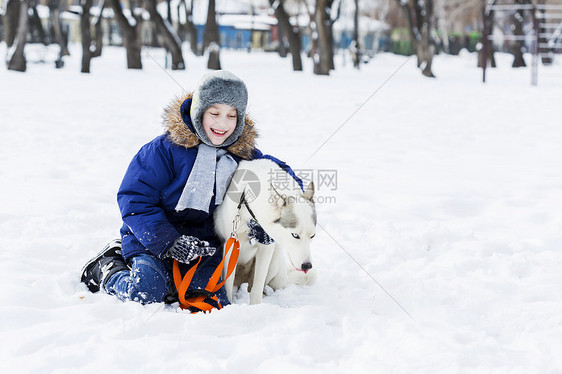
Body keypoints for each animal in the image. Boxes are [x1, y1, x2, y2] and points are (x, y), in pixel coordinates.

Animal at [213, 158, 316, 304]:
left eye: (313, 236)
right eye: (295, 235)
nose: (307, 266)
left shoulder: (266, 248)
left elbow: (257, 284)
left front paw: (255, 305)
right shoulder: (231, 244)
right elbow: (227, 284)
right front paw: (228, 303)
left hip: (273, 262)